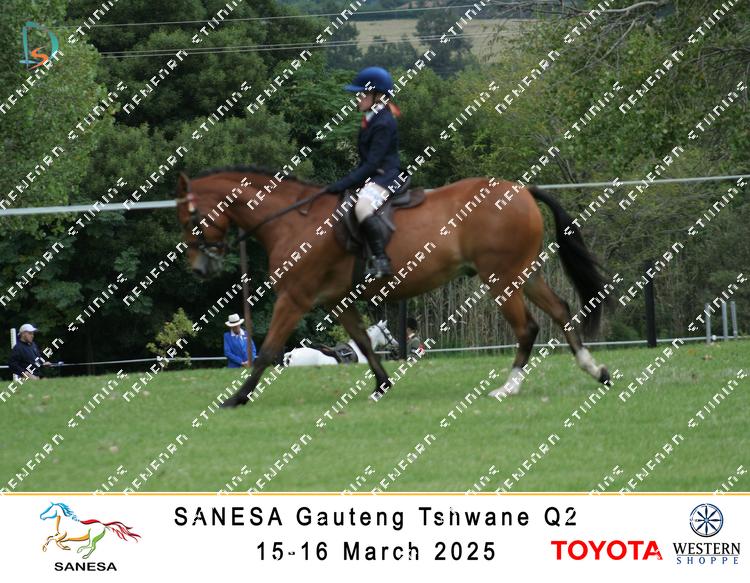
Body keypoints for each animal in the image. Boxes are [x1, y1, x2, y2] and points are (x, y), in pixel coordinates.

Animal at [175, 166, 611, 407]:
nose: (197, 268)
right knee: (561, 311)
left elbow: (265, 352)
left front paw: (237, 398)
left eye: (189, 219)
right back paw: (596, 370)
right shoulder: (336, 300)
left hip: (501, 277)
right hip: (525, 272)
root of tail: (520, 189)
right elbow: (364, 345)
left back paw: (508, 388)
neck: (291, 219)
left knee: (528, 328)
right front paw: (381, 386)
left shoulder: (294, 298)